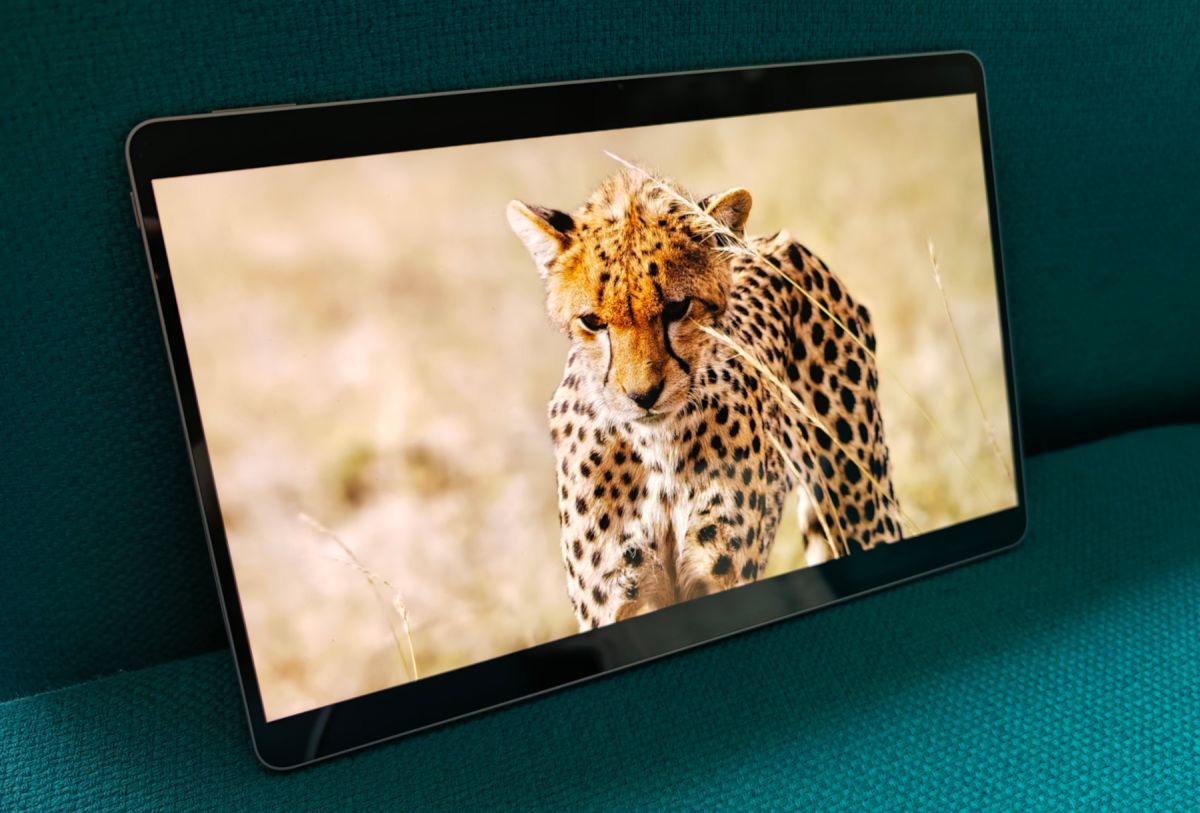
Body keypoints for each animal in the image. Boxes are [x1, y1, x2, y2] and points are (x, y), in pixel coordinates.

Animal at [507, 168, 902, 631]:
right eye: (592, 321)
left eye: (677, 308)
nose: (643, 394)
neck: (656, 447)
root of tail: (775, 242)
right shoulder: (612, 598)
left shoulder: (723, 574)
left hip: (857, 504)